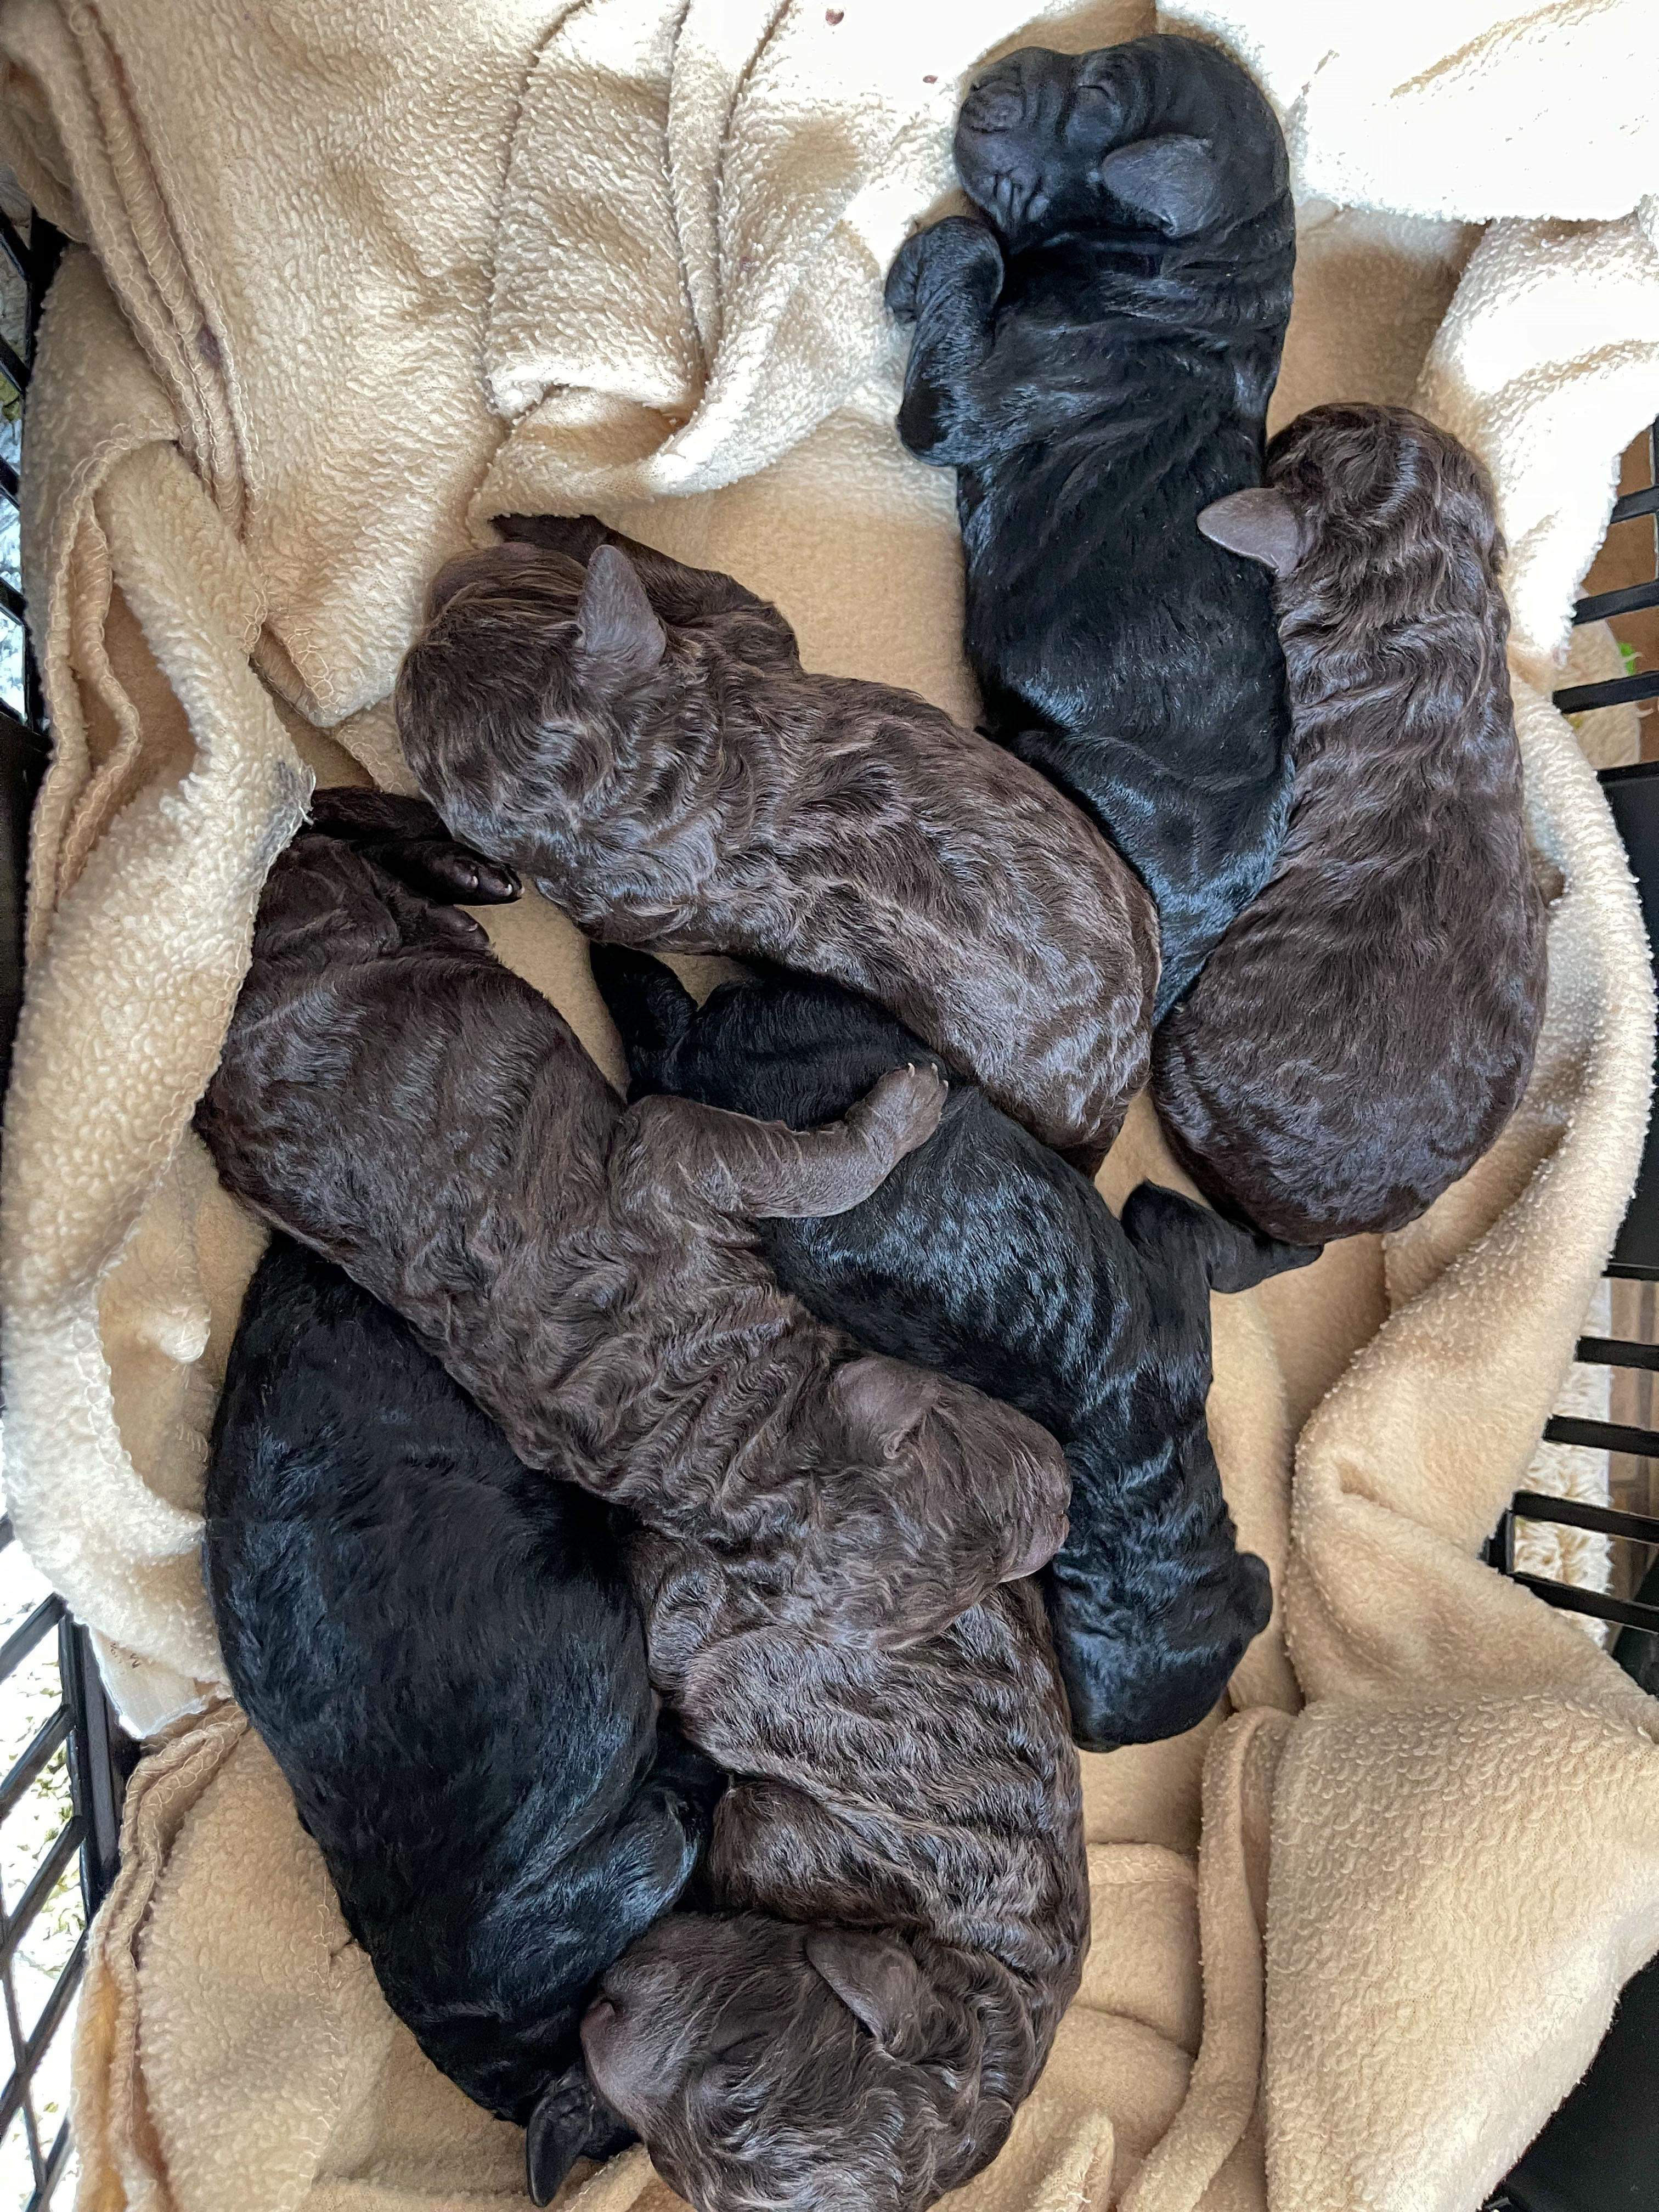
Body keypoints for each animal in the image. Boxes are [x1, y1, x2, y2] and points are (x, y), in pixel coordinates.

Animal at [194, 789, 1070, 1654]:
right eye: (987, 1467)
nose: (1063, 1517)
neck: (727, 1433)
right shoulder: (674, 1154)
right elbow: (807, 1167)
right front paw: (908, 1108)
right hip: (328, 923)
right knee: (323, 839)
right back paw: (452, 889)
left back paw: (463, 893)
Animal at [391, 515, 1158, 1168]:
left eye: (511, 593)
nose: (443, 582)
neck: (664, 777)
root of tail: (1115, 1103)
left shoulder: (743, 638)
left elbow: (688, 576)